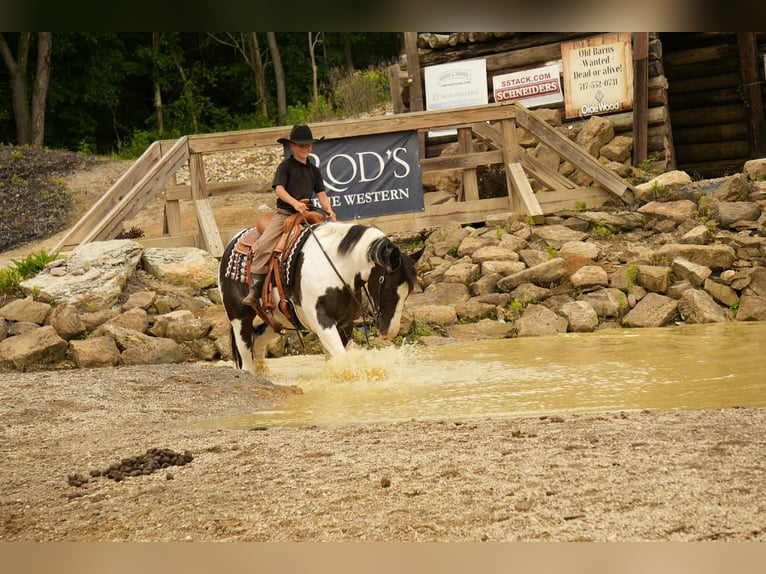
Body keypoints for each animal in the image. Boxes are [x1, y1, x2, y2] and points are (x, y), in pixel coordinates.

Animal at [218, 220, 422, 376]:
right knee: (245, 353)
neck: (336, 268)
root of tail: (234, 240)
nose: (390, 332)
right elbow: (340, 355)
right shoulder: (322, 321)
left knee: (258, 340)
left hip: (276, 319)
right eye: (388, 285)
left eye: (408, 291)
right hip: (239, 317)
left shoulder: (345, 324)